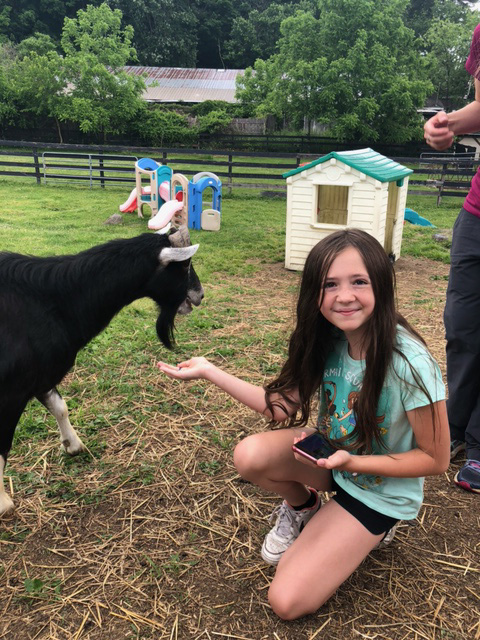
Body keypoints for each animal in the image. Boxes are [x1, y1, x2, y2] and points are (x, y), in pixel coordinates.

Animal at [0, 225, 202, 516]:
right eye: (184, 265)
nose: (200, 295)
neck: (51, 300)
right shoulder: (11, 393)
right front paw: (3, 503)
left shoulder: (41, 373)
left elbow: (59, 406)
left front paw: (73, 446)